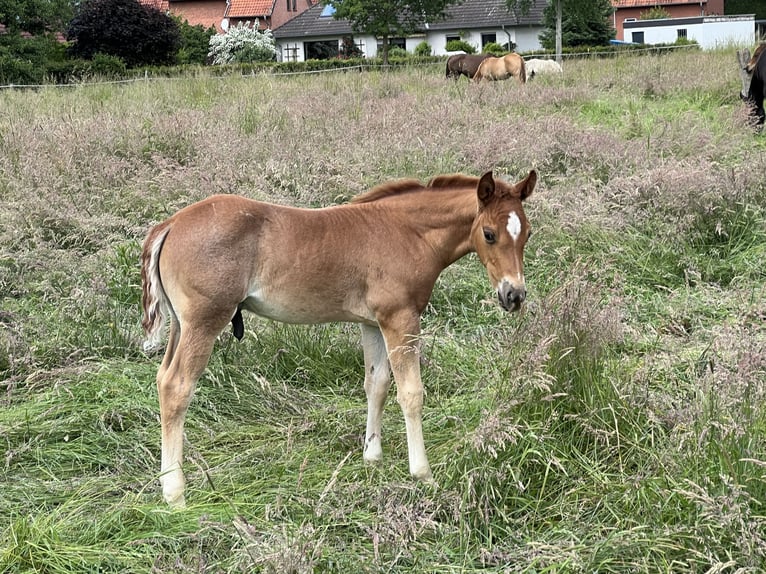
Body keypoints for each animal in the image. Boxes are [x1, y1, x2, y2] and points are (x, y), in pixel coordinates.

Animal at [141, 169, 537, 507]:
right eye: (489, 233)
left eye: (528, 233)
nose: (514, 295)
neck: (407, 233)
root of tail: (171, 224)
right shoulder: (400, 318)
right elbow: (411, 393)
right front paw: (422, 473)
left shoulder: (373, 323)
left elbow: (376, 384)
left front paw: (372, 457)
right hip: (204, 322)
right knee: (177, 386)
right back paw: (175, 493)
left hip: (181, 325)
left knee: (162, 379)